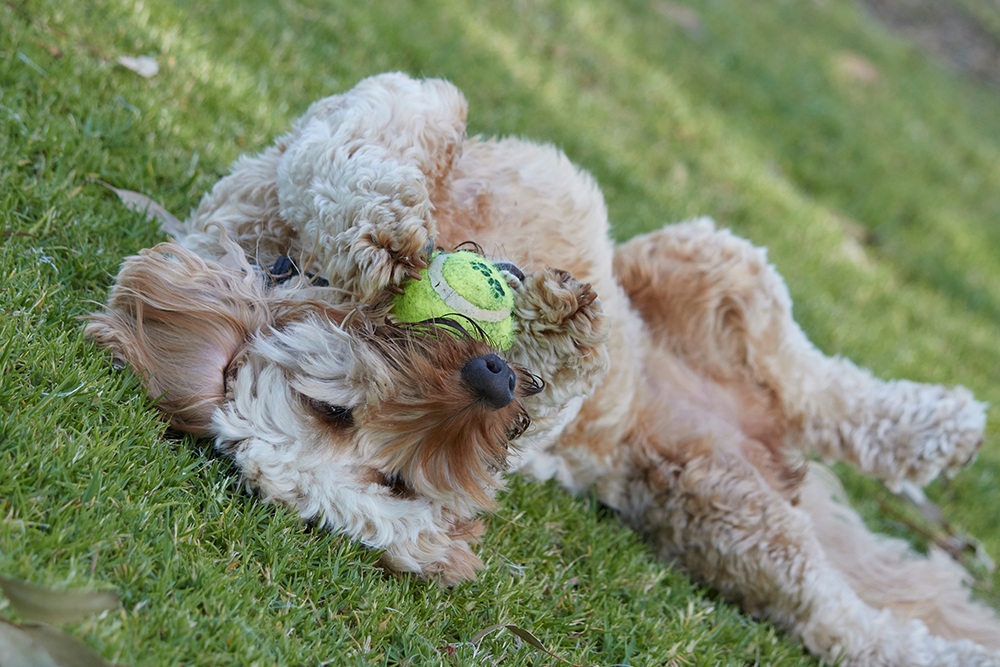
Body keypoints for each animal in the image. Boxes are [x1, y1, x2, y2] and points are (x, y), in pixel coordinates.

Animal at [88, 74, 1000, 667]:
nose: (489, 384)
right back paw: (932, 630)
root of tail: (766, 448)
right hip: (724, 512)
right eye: (394, 482)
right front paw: (552, 340)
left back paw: (940, 425)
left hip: (706, 264)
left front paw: (384, 238)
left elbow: (355, 155)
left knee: (816, 380)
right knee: (837, 609)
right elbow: (558, 392)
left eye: (330, 412)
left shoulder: (366, 118)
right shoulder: (542, 430)